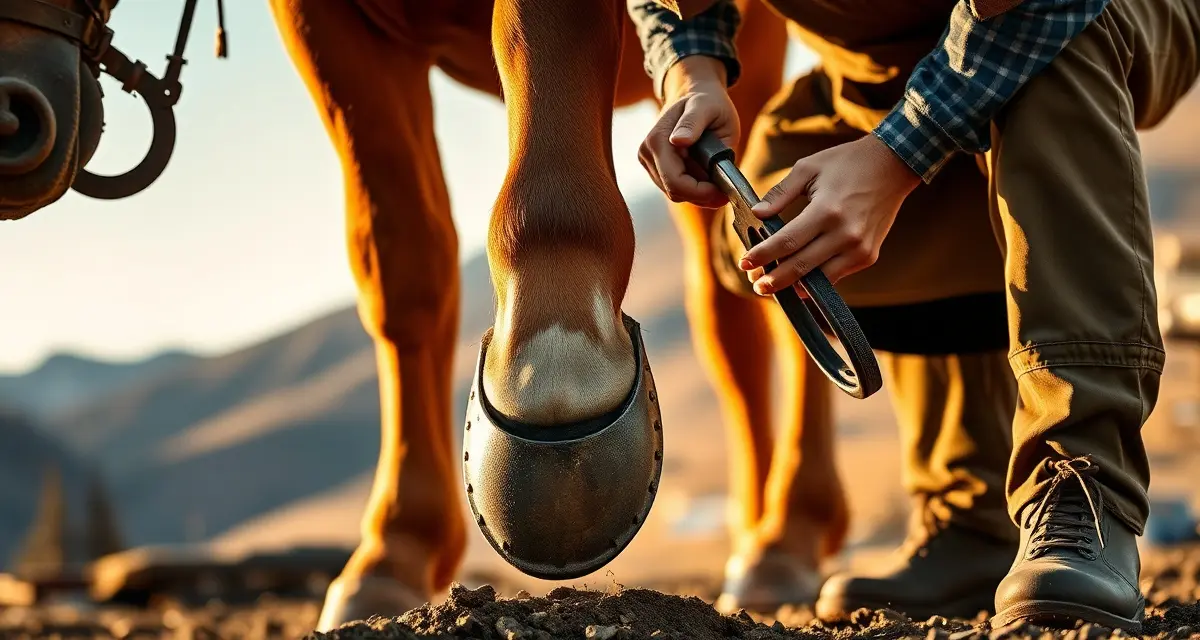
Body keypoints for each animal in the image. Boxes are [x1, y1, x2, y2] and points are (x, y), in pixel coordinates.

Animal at [0, 0, 850, 630]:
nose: (16, 110)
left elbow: (548, 187)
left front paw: (553, 375)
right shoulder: (326, 28)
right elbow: (403, 260)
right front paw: (394, 551)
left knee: (767, 249)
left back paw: (788, 533)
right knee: (733, 303)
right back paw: (759, 528)